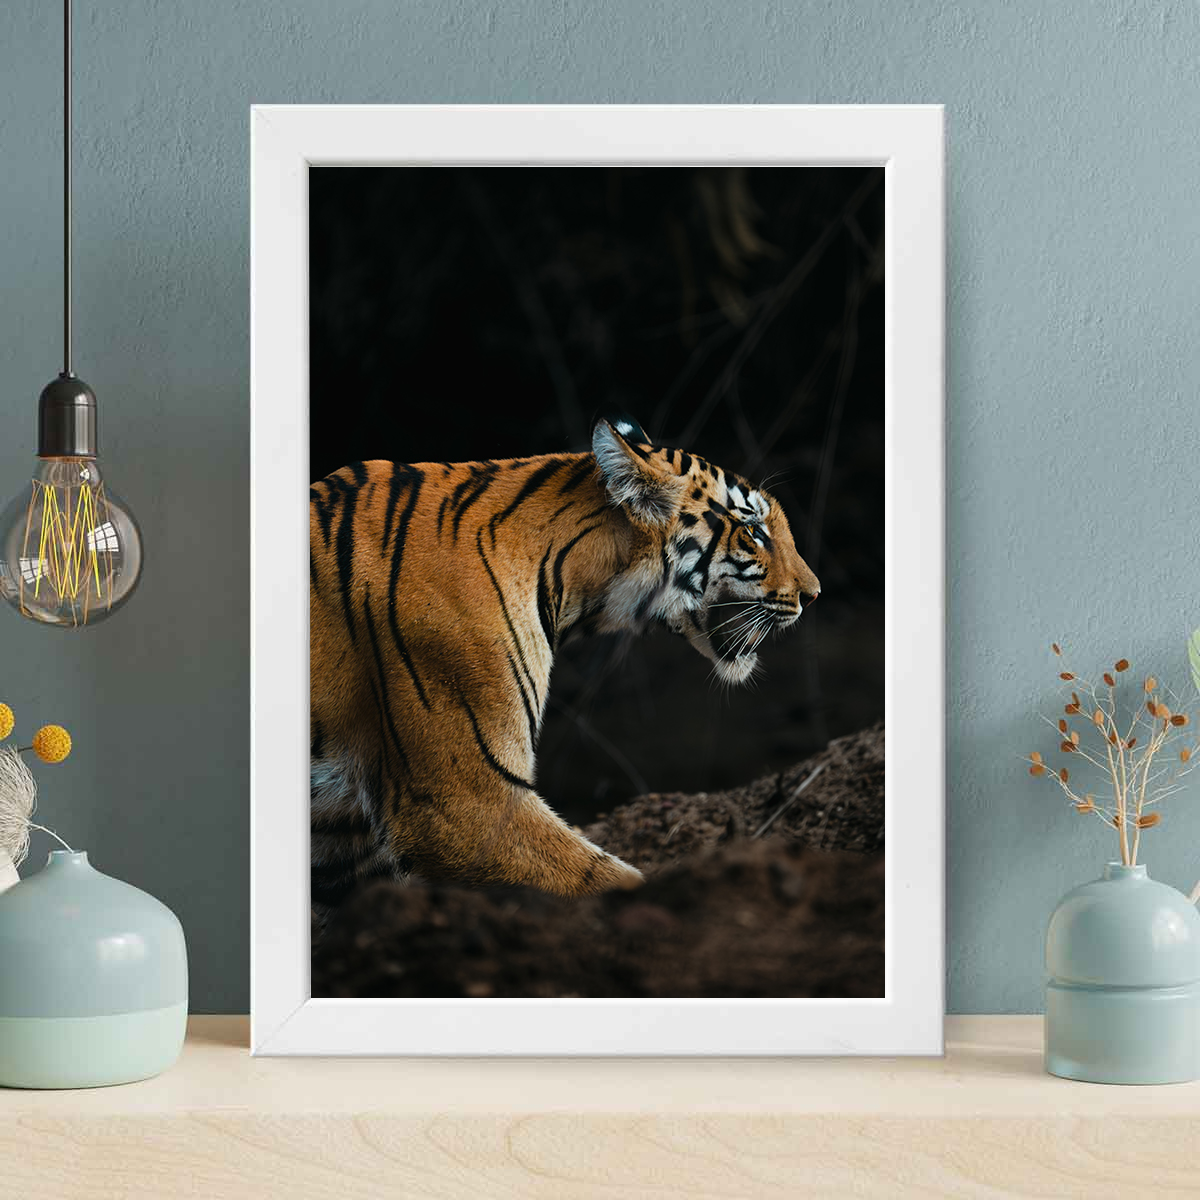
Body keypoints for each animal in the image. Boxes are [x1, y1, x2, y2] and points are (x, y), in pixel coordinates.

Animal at [309, 415, 820, 910]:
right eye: (754, 531)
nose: (814, 594)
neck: (569, 582)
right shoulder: (462, 805)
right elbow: (607, 879)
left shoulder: (344, 840)